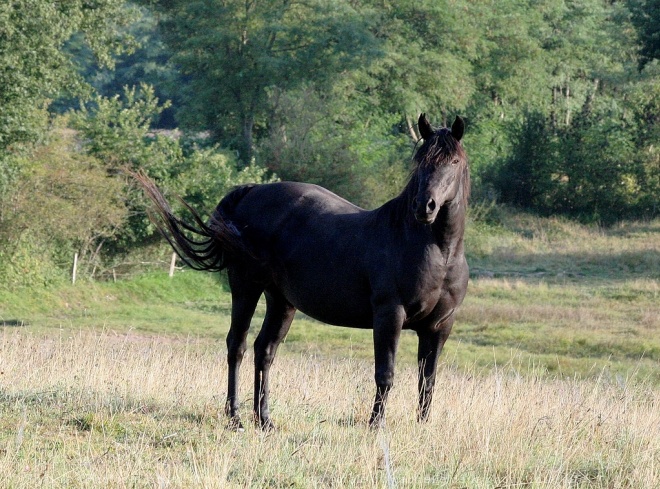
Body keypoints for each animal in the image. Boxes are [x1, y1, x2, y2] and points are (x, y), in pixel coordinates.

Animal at [137, 113, 470, 428]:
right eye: (420, 161)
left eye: (454, 162)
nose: (424, 207)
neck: (438, 252)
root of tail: (251, 191)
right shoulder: (390, 316)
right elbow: (385, 375)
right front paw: (376, 426)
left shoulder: (438, 327)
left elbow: (428, 381)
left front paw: (421, 427)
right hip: (245, 287)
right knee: (237, 346)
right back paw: (236, 418)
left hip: (281, 301)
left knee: (264, 351)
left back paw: (265, 420)